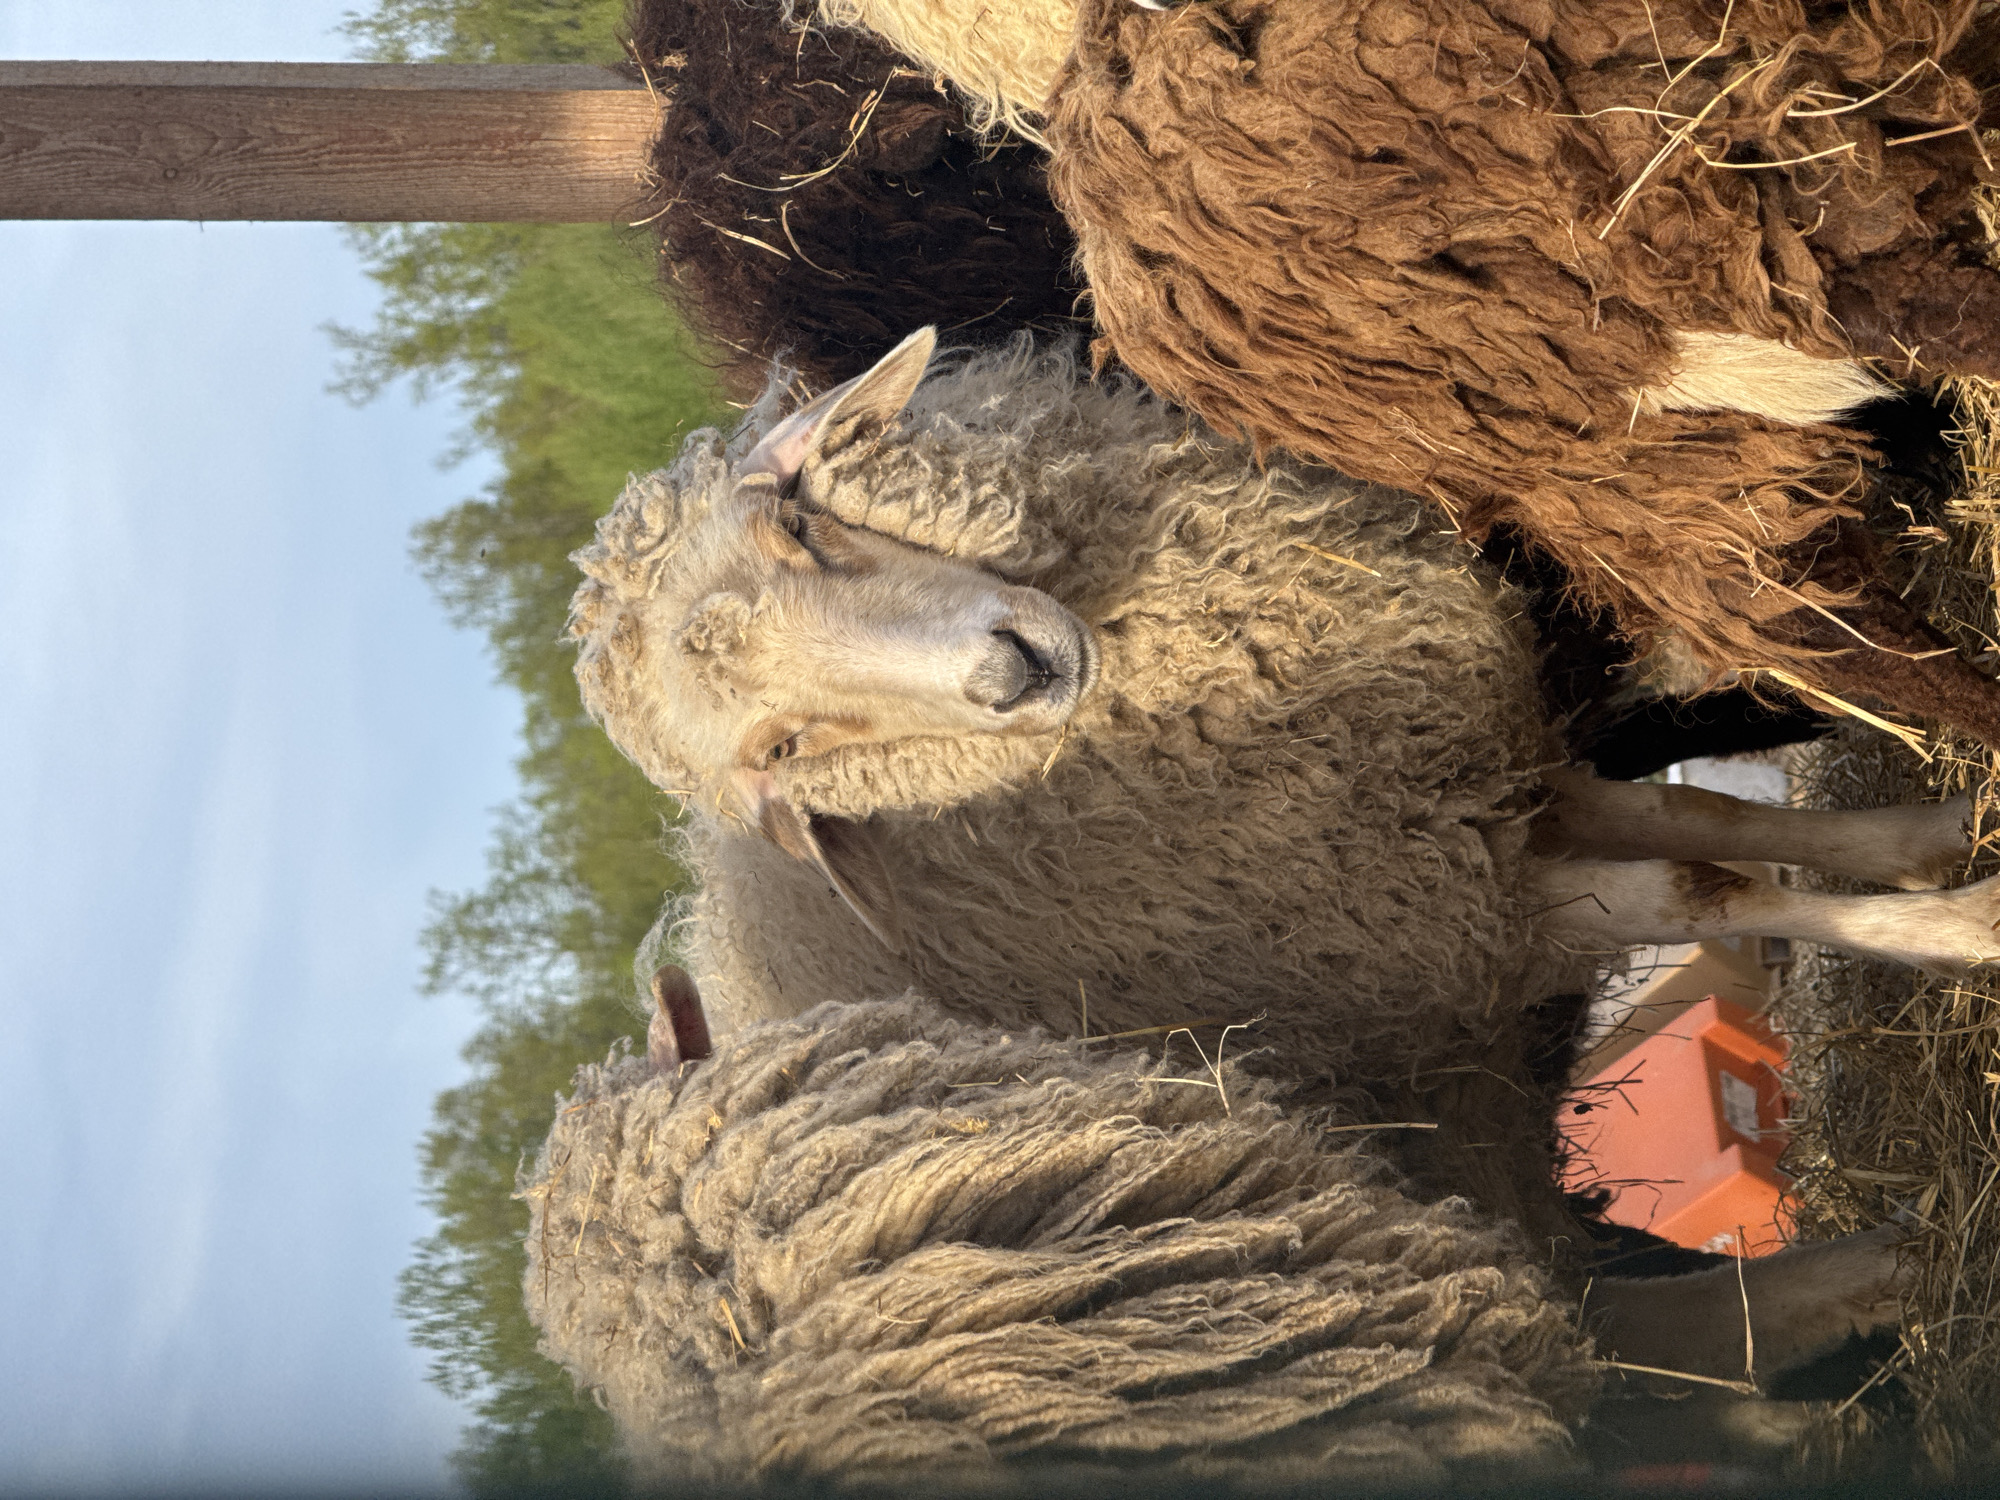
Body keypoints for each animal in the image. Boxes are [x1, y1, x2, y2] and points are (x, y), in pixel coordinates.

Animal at [566, 329, 2000, 1235]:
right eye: (778, 751)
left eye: (795, 526)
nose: (1009, 671)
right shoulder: (1443, 932)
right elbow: (1715, 888)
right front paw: (1962, 924)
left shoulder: (1468, 791)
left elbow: (1695, 817)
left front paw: (1934, 835)